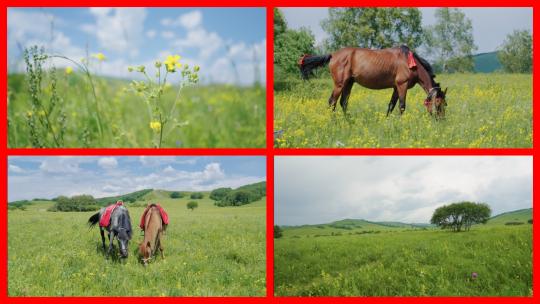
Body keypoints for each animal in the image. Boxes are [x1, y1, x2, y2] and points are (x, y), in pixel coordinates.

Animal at [300, 45, 448, 118]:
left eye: (445, 104)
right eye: (438, 102)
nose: (441, 120)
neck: (409, 62)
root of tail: (333, 55)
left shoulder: (396, 87)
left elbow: (391, 105)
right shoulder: (402, 85)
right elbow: (401, 106)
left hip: (349, 83)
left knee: (343, 103)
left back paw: (349, 121)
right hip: (340, 84)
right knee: (332, 103)